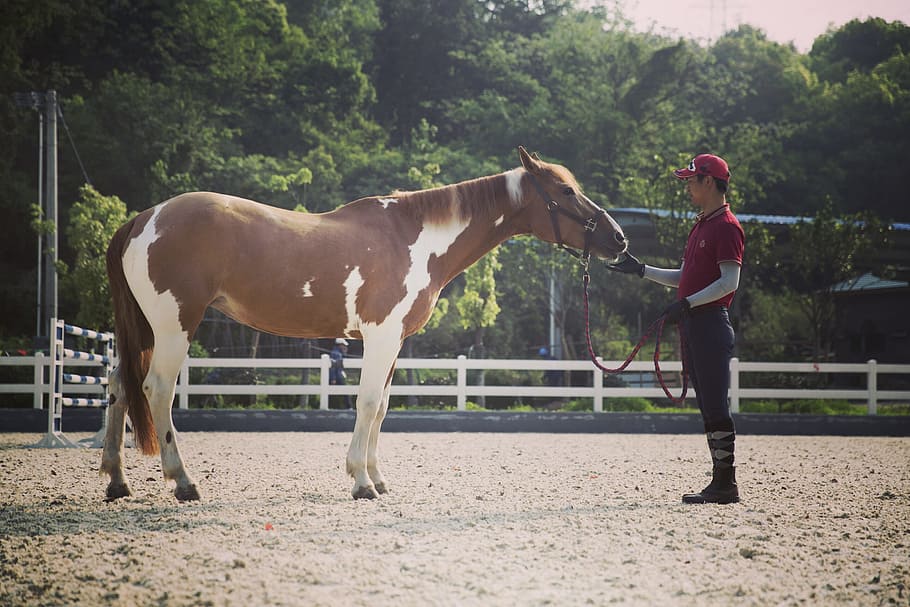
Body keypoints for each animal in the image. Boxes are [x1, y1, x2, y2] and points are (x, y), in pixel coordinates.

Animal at [102, 146, 628, 501]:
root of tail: (144, 219)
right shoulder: (380, 336)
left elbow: (382, 407)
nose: (619, 239)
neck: (416, 240)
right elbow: (369, 401)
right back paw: (183, 482)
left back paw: (116, 480)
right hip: (174, 327)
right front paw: (360, 481)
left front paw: (376, 476)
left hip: (144, 330)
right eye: (566, 191)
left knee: (119, 385)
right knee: (157, 389)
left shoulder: (393, 343)